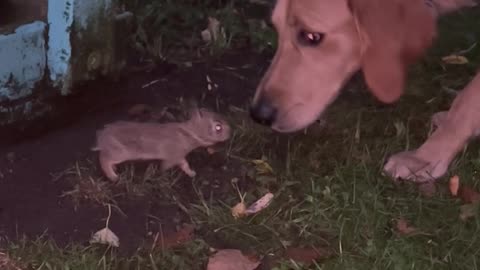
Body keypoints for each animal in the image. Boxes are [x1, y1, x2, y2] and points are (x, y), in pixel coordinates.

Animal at [92, 107, 232, 181]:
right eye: (218, 127)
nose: (230, 132)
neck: (190, 132)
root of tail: (101, 138)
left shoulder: (179, 156)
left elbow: (185, 165)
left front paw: (192, 173)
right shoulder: (173, 156)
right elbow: (169, 165)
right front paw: (162, 172)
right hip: (120, 152)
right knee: (104, 159)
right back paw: (113, 176)